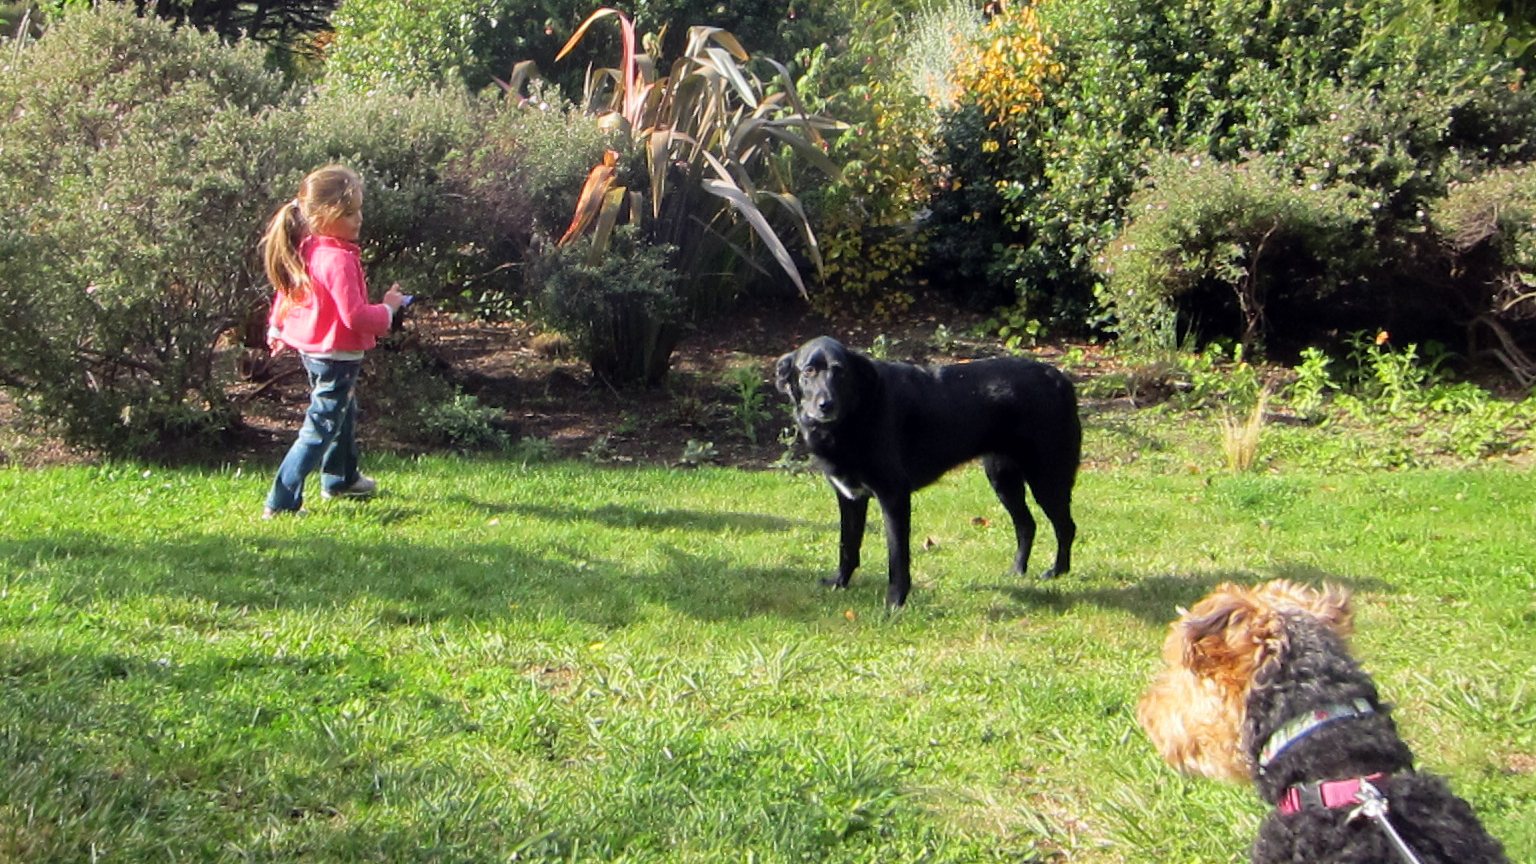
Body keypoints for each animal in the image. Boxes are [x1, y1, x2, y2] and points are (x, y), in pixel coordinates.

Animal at [780, 336, 1081, 605]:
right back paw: (1018, 571)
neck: (857, 411)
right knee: (1027, 524)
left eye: (840, 372)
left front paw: (895, 603)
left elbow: (897, 558)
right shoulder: (850, 496)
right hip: (1002, 477)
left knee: (1065, 526)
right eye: (808, 371)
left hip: (1047, 478)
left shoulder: (894, 496)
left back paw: (1057, 572)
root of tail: (1058, 377)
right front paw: (839, 583)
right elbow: (848, 546)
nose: (826, 405)